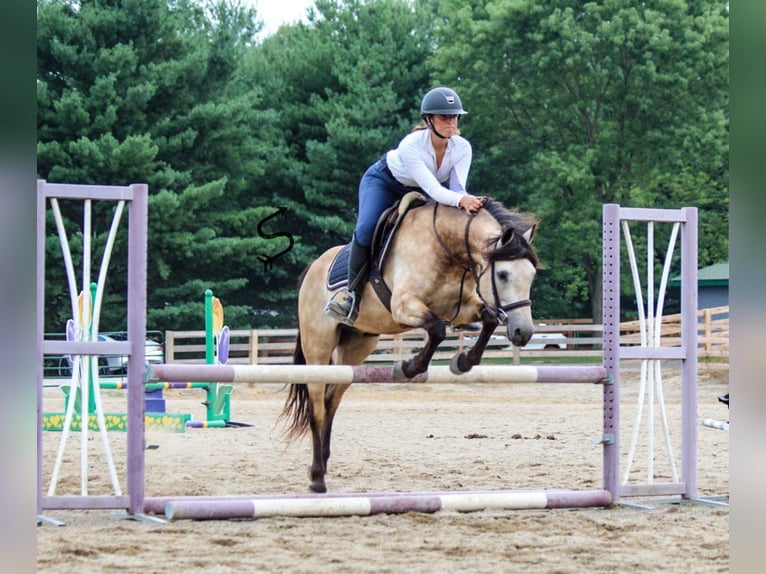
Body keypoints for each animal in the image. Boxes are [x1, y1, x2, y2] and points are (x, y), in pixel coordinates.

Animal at [282, 198, 540, 496]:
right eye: (503, 274)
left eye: (532, 275)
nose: (523, 333)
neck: (447, 248)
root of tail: (313, 267)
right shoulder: (403, 305)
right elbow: (437, 329)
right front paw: (408, 367)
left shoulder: (461, 308)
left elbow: (487, 319)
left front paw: (462, 362)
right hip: (318, 347)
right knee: (316, 407)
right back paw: (316, 478)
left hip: (357, 346)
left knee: (330, 402)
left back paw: (323, 465)